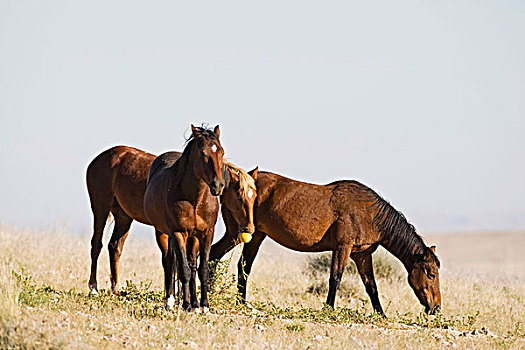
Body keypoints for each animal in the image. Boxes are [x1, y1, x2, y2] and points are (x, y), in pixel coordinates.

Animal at [86, 141, 258, 300]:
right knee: (96, 245)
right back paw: (93, 288)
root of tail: (98, 160)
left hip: (124, 217)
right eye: (239, 196)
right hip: (100, 208)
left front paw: (179, 295)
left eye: (254, 196)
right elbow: (174, 261)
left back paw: (117, 289)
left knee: (115, 247)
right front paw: (174, 296)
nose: (249, 228)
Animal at [142, 123, 228, 312]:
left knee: (192, 264)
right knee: (170, 263)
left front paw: (203, 306)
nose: (218, 185)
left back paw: (193, 303)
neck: (195, 199)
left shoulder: (206, 233)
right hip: (163, 233)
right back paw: (171, 301)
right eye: (202, 153)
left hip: (193, 238)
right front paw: (186, 303)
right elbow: (183, 270)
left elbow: (202, 270)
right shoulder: (178, 233)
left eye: (222, 152)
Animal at [211, 171, 440, 316]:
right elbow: (335, 279)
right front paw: (329, 310)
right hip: (242, 233)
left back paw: (235, 301)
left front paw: (381, 314)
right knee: (223, 257)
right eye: (431, 274)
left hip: (254, 236)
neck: (369, 213)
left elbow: (371, 286)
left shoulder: (362, 255)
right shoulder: (342, 248)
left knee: (233, 263)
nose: (436, 308)